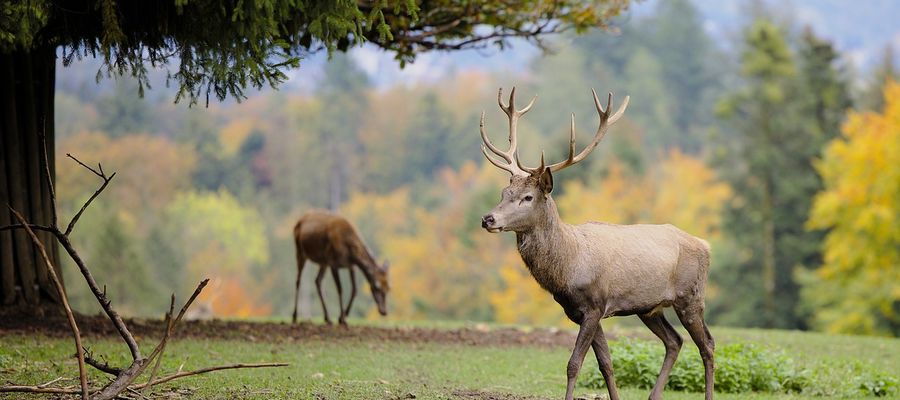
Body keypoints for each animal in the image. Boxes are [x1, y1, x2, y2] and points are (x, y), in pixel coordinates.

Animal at [478, 88, 716, 400]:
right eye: (504, 192)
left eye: (528, 197)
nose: (488, 219)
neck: (567, 268)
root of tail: (705, 245)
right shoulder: (579, 312)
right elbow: (606, 363)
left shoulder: (594, 304)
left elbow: (573, 364)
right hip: (649, 307)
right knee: (674, 341)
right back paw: (654, 395)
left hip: (691, 296)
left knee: (708, 345)